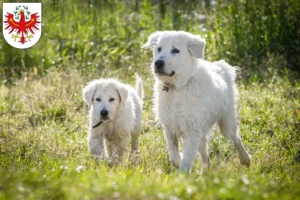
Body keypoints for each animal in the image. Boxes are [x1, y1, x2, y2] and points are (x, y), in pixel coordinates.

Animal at [142, 30, 251, 173]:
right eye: (159, 49)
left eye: (175, 50)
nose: (158, 63)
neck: (177, 88)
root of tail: (220, 70)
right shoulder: (170, 128)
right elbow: (175, 157)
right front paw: (179, 161)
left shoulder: (192, 131)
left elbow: (186, 161)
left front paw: (182, 175)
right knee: (205, 154)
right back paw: (206, 171)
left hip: (226, 124)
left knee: (236, 139)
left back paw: (245, 159)